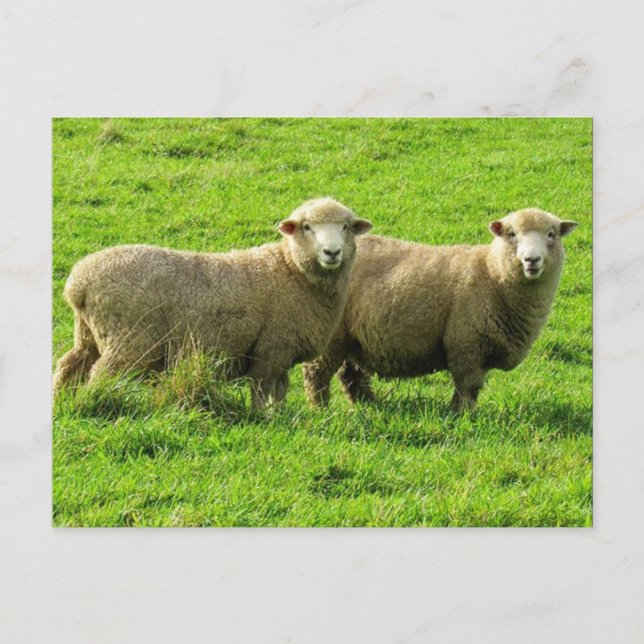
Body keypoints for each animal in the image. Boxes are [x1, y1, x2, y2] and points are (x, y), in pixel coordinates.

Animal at [53, 198, 373, 408]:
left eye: (346, 227)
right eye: (307, 227)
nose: (332, 252)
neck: (291, 270)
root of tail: (78, 283)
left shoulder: (281, 351)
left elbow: (280, 390)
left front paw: (282, 416)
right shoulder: (271, 347)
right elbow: (261, 388)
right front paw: (263, 418)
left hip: (89, 334)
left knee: (70, 364)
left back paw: (62, 402)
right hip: (128, 339)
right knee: (100, 373)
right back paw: (96, 403)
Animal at [302, 208, 577, 411]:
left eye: (551, 234)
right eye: (512, 234)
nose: (532, 260)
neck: (491, 273)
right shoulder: (466, 345)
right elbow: (468, 387)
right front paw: (463, 416)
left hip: (354, 337)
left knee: (351, 375)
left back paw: (369, 405)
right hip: (330, 335)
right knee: (317, 374)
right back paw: (322, 410)